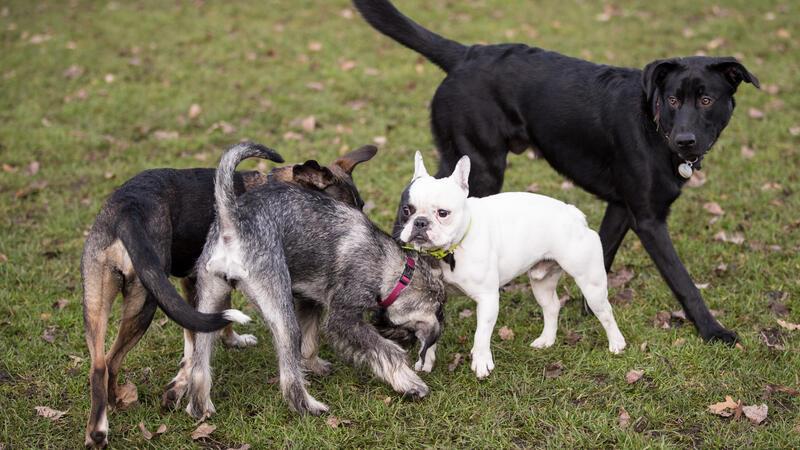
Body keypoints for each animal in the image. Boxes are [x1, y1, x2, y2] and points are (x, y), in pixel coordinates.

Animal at [82, 144, 378, 446]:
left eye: (361, 206)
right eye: (338, 213)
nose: (365, 241)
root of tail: (127, 209)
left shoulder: (194, 285)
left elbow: (202, 332)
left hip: (97, 300)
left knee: (101, 364)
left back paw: (104, 421)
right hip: (147, 301)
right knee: (111, 360)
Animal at [170, 142, 444, 418]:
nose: (409, 340)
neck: (394, 270)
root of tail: (231, 224)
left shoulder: (310, 299)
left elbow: (310, 342)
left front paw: (315, 366)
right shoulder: (343, 318)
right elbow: (385, 350)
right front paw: (409, 382)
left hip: (208, 302)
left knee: (199, 363)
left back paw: (201, 407)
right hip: (282, 314)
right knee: (289, 375)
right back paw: (309, 406)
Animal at [354, 0, 760, 342]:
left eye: (706, 100)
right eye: (674, 99)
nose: (685, 140)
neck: (654, 122)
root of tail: (467, 54)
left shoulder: (621, 206)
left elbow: (603, 254)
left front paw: (589, 309)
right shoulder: (648, 219)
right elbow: (683, 281)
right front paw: (713, 330)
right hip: (481, 165)